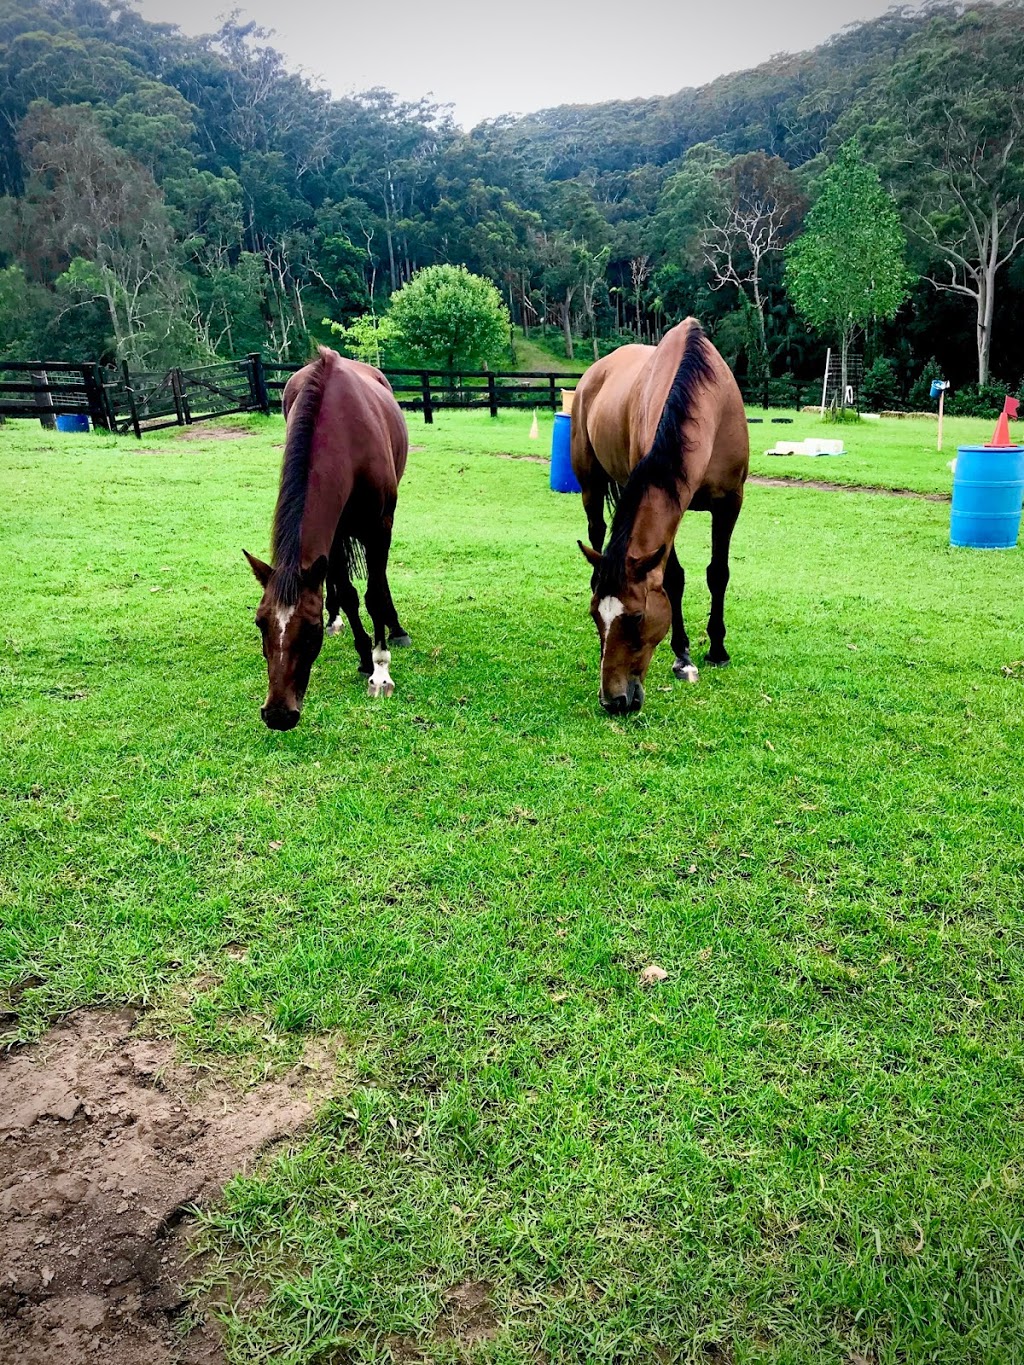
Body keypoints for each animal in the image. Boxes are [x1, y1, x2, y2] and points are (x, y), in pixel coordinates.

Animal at [243, 346, 412, 731]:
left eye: (310, 629)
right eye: (260, 624)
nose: (278, 714)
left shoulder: (379, 527)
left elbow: (374, 594)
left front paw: (380, 668)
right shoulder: (332, 537)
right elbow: (349, 594)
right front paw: (364, 654)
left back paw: (395, 629)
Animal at [573, 320, 748, 720]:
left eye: (637, 617)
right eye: (595, 616)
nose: (614, 700)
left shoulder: (730, 502)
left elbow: (718, 573)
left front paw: (717, 649)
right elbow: (674, 579)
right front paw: (682, 655)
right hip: (591, 484)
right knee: (597, 530)